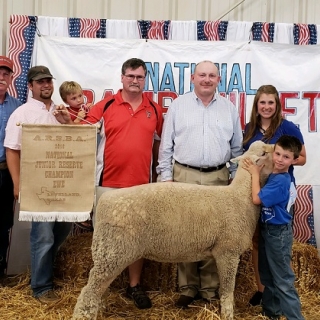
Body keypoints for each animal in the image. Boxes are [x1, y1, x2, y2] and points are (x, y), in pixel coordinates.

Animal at [73, 141, 276, 318]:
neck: (240, 197)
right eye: (264, 153)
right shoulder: (228, 252)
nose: (276, 146)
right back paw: (83, 315)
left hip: (109, 254)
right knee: (89, 291)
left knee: (96, 289)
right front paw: (227, 314)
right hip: (112, 253)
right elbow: (227, 292)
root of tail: (104, 201)